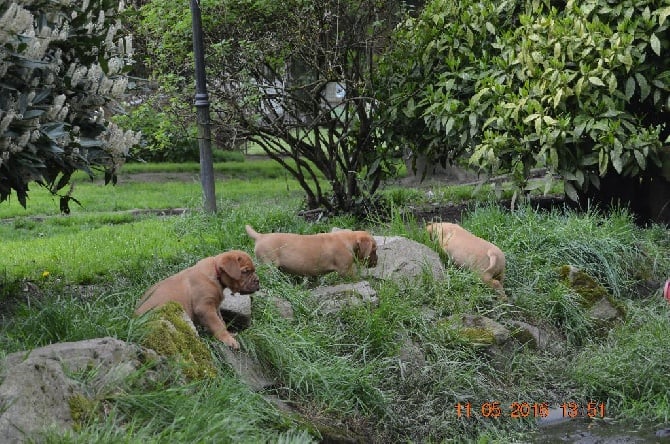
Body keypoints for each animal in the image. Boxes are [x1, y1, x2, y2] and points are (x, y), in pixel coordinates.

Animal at [245, 225, 378, 278]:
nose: (376, 263)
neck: (349, 239)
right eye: (374, 250)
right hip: (269, 265)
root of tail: (260, 236)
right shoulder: (345, 271)